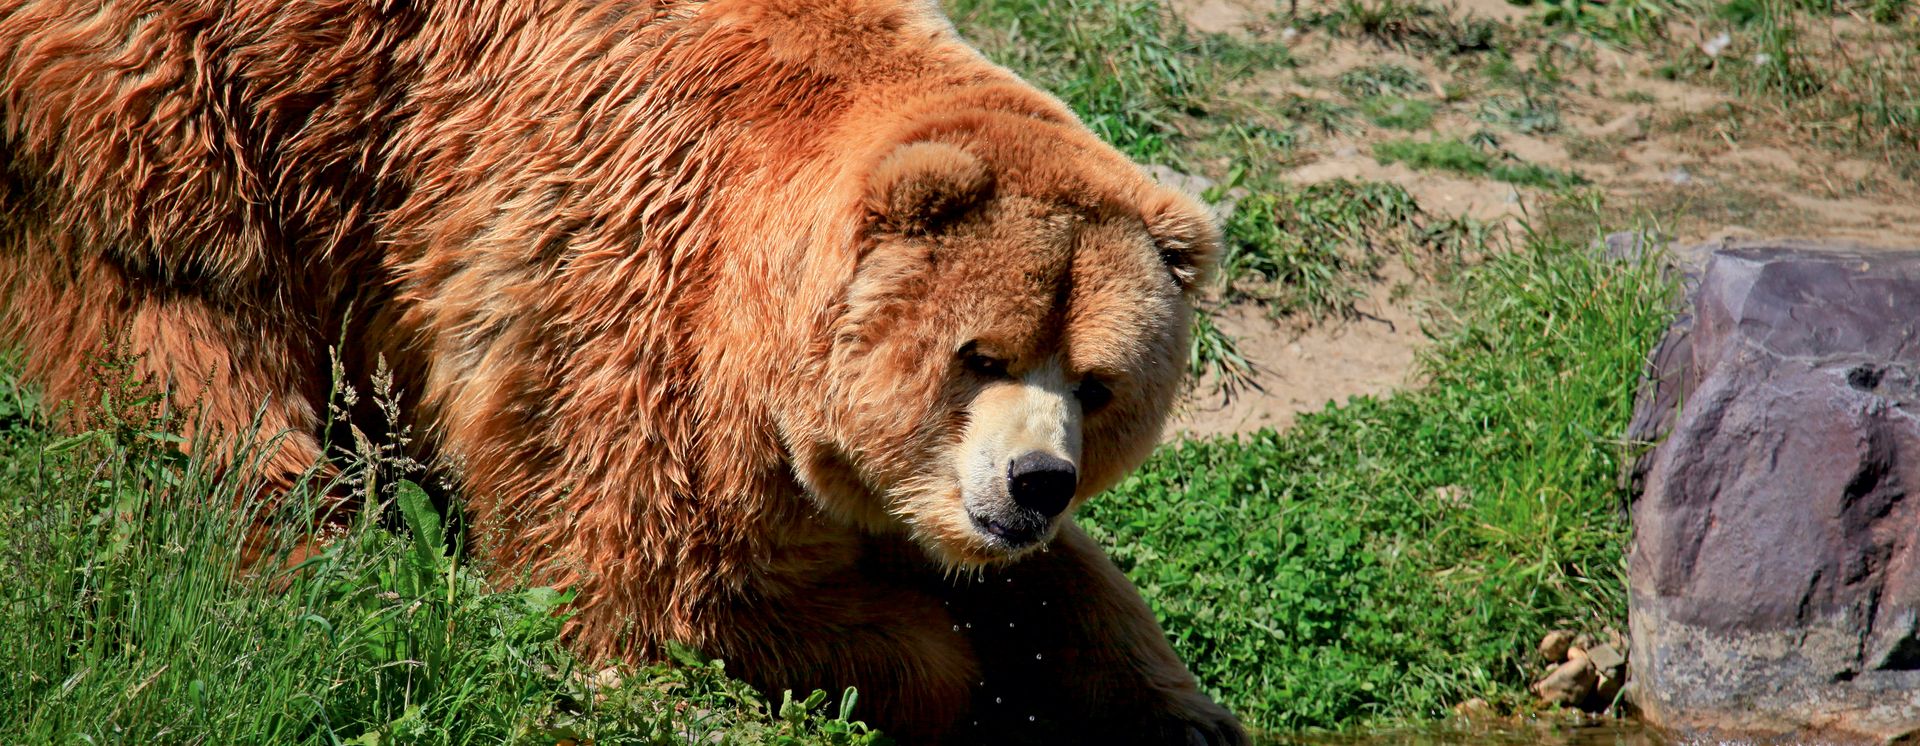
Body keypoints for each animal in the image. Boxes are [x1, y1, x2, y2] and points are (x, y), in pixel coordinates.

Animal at [0, 0, 1243, 743]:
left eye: (1098, 384)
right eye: (978, 353)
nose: (1035, 480)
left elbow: (1064, 589)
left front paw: (1176, 705)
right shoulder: (625, 318)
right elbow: (652, 597)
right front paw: (940, 659)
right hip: (201, 98)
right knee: (184, 328)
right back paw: (304, 546)